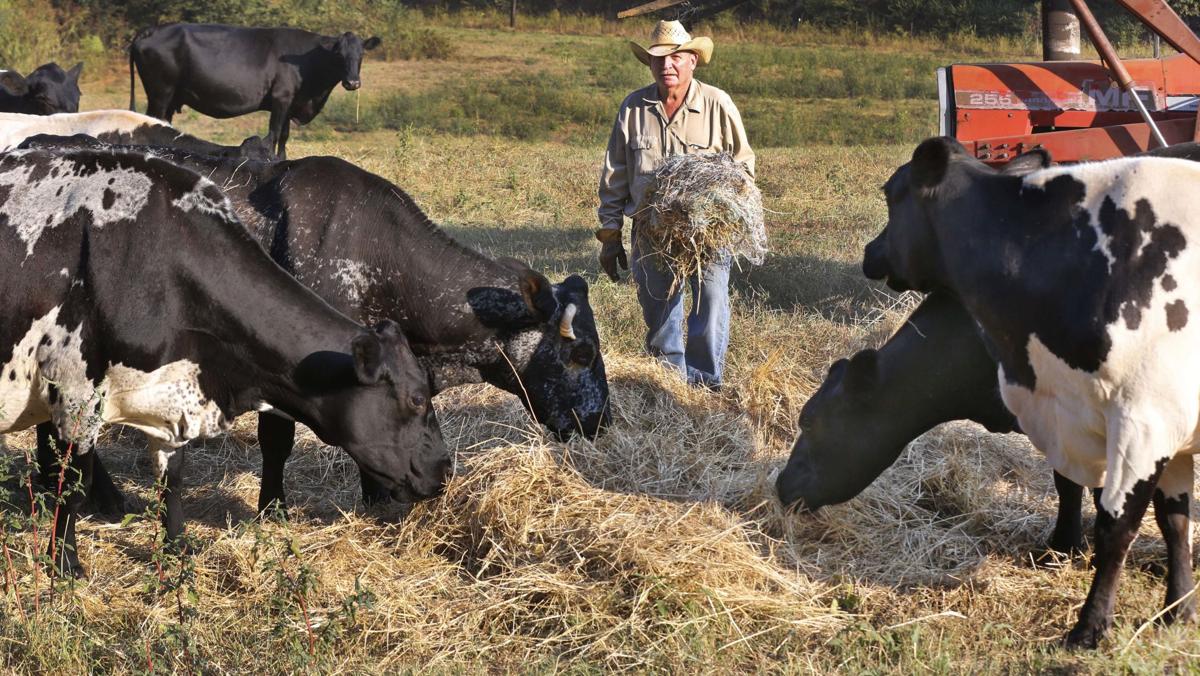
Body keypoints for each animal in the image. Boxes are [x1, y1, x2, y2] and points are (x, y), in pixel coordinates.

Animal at [0, 147, 450, 576]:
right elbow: (72, 487)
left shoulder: (171, 398)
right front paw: (65, 563)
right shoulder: (75, 393)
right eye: (417, 399)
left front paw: (177, 549)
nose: (445, 469)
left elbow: (172, 482)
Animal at [130, 24, 380, 159]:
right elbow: (274, 134)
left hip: (170, 97)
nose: (353, 83)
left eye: (362, 54)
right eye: (339, 54)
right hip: (160, 93)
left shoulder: (290, 103)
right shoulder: (281, 99)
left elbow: (284, 136)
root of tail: (151, 30)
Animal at [865, 136, 1200, 648]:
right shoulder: (1163, 431)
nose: (870, 251)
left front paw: (1090, 626)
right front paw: (1178, 610)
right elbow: (1174, 521)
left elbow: (1116, 527)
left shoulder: (1146, 420)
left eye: (890, 194)